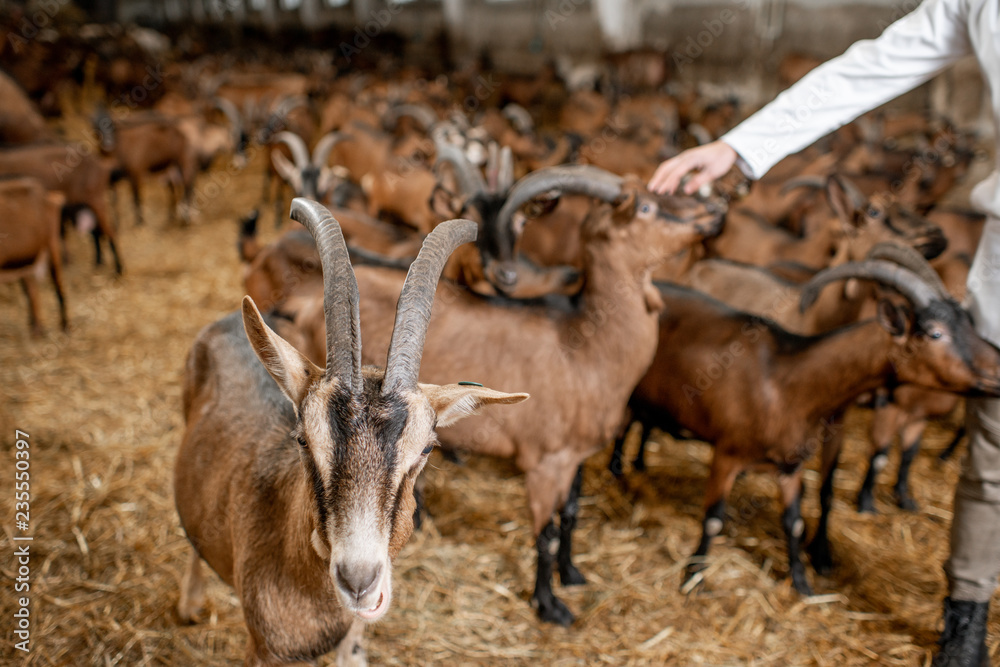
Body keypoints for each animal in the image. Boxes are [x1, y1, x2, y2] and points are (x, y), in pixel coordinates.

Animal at [612, 260, 1000, 596]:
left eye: (970, 324)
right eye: (935, 333)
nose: (997, 370)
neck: (787, 382)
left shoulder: (791, 465)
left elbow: (794, 523)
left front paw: (801, 583)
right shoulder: (727, 454)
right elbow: (713, 520)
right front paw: (693, 578)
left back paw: (636, 466)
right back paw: (618, 473)